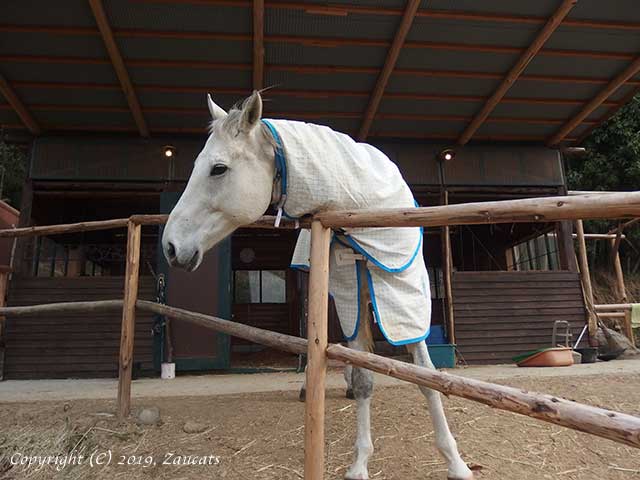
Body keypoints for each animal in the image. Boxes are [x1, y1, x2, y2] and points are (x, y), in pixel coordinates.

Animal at [164, 91, 476, 480]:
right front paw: (359, 463)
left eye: (218, 169)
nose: (170, 246)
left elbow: (426, 376)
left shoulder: (403, 290)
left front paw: (456, 461)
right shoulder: (348, 295)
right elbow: (363, 379)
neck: (359, 211)